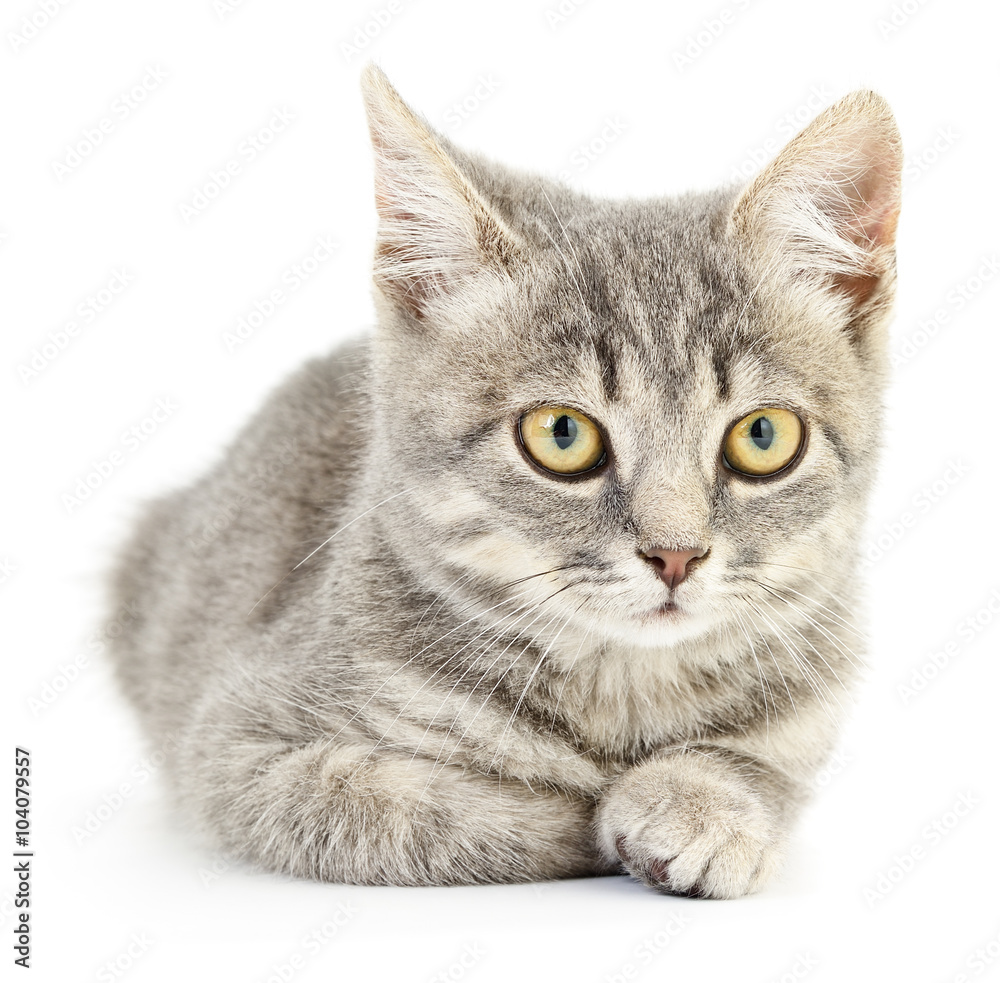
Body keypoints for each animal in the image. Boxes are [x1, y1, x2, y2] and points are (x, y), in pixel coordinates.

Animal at [107, 67, 900, 900]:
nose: (677, 554)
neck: (620, 693)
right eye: (562, 434)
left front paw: (703, 803)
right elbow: (429, 810)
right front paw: (582, 812)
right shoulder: (238, 744)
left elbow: (760, 770)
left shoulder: (808, 718)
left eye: (762, 436)